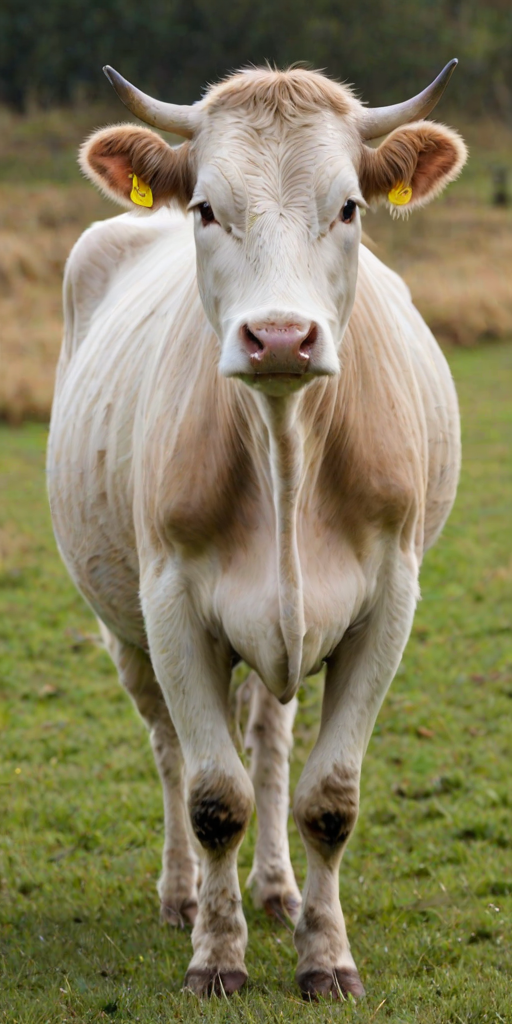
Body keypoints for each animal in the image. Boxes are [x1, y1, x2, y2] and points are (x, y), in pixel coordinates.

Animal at [47, 61, 466, 1000]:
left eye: (349, 206)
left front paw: (327, 957)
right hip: (126, 626)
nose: (279, 337)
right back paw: (181, 896)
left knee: (270, 746)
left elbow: (329, 798)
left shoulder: (389, 605)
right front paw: (215, 955)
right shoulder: (169, 605)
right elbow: (213, 796)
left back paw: (275, 890)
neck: (283, 448)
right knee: (171, 749)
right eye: (206, 207)